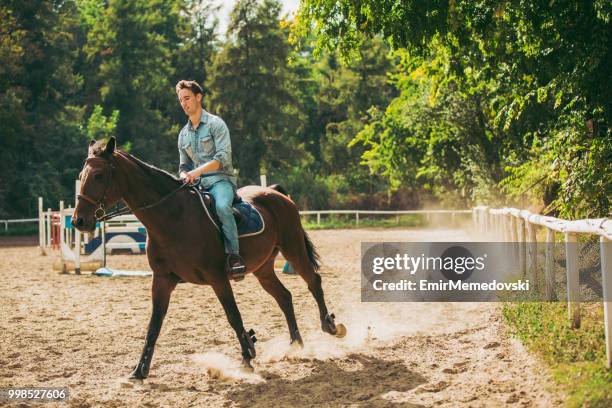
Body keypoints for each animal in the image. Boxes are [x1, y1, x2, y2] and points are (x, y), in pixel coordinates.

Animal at [71, 137, 344, 380]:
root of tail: (275, 193)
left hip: (293, 249)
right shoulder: (162, 280)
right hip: (263, 268)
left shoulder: (217, 277)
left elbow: (233, 315)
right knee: (284, 297)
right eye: (82, 175)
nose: (78, 221)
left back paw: (330, 326)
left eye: (99, 175)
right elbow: (154, 326)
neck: (173, 217)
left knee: (313, 282)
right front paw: (140, 371)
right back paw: (296, 344)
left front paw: (247, 356)